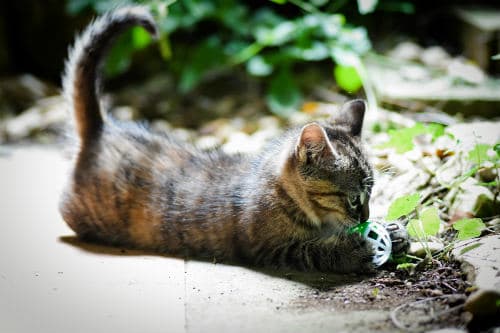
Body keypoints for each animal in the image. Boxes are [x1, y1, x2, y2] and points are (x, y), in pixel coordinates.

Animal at [58, 6, 402, 272]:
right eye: (353, 198)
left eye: (371, 194)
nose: (365, 216)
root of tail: (102, 127)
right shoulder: (271, 248)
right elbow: (313, 250)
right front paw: (352, 250)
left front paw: (395, 232)